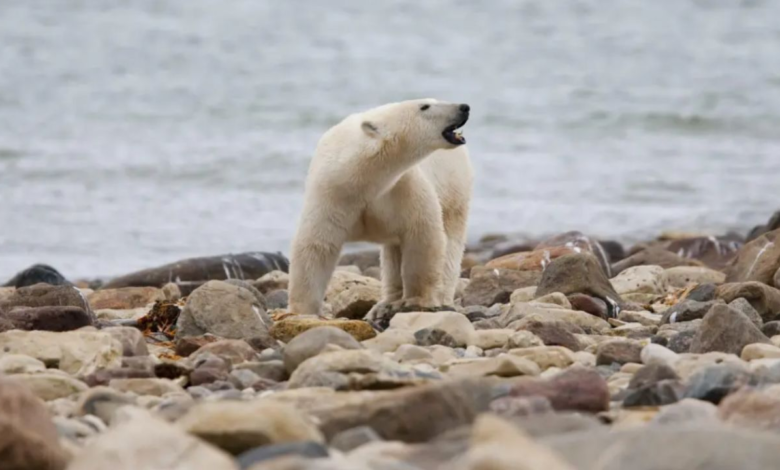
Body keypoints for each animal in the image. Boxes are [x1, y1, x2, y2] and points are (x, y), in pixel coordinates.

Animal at [284, 99, 470, 320]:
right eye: (424, 106)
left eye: (432, 101)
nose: (464, 107)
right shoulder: (332, 193)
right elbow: (317, 245)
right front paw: (303, 311)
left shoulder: (403, 188)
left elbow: (422, 235)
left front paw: (418, 300)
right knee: (393, 251)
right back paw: (386, 304)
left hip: (454, 189)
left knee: (451, 243)